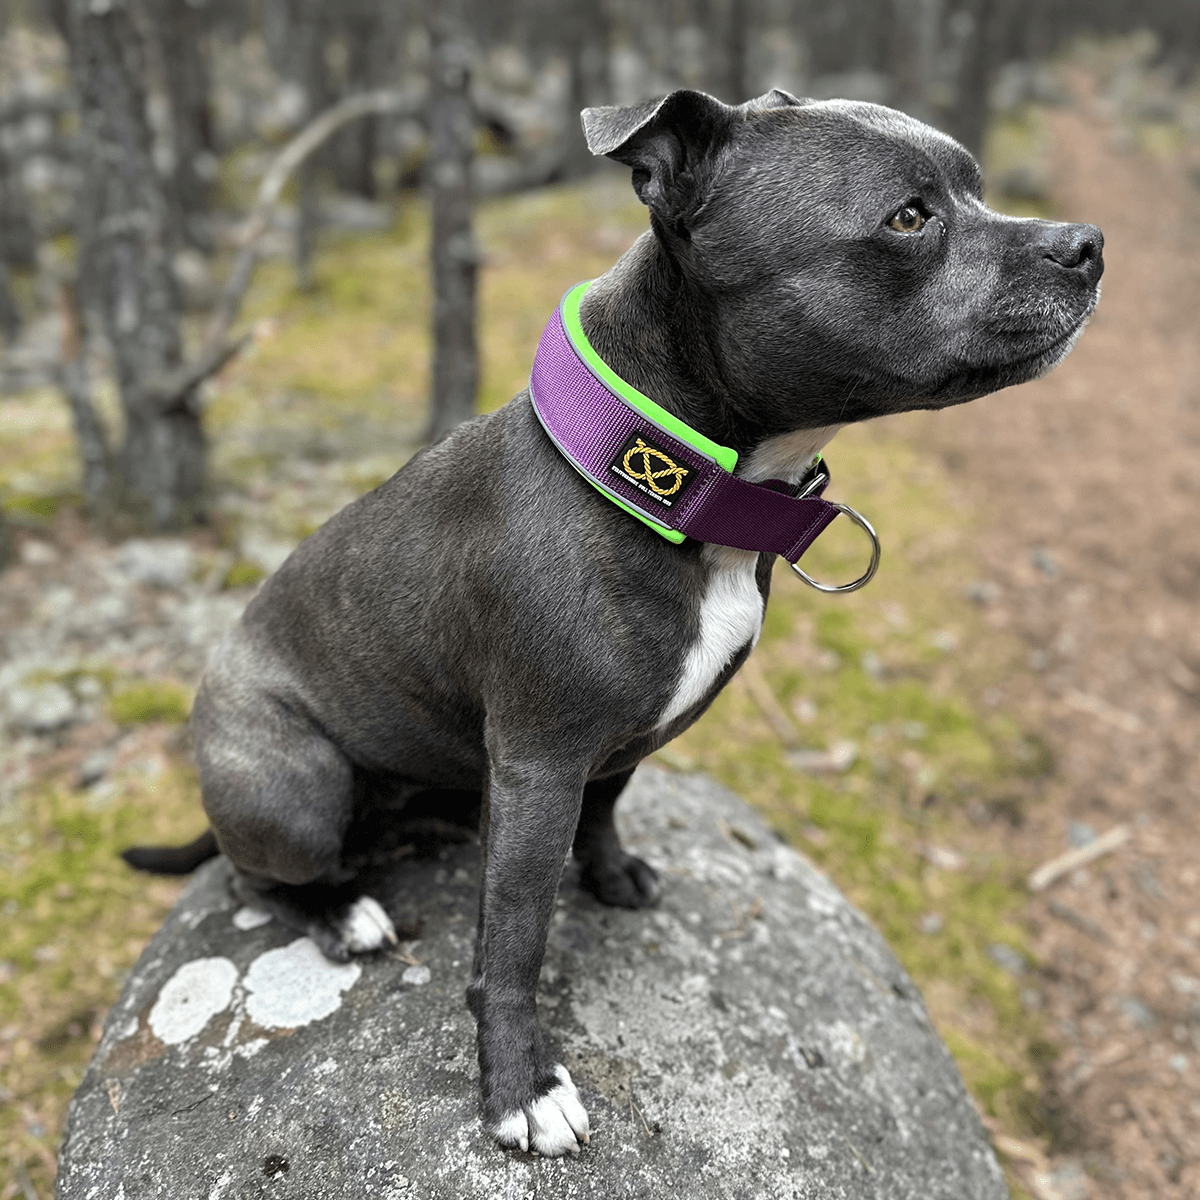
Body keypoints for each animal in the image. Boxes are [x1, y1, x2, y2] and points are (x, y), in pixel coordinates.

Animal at [124, 88, 1104, 1156]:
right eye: (910, 217)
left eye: (976, 188)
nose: (1087, 243)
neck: (669, 483)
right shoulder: (541, 764)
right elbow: (514, 939)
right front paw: (520, 1085)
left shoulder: (613, 744)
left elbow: (606, 808)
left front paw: (610, 873)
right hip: (295, 790)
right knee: (255, 875)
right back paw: (342, 913)